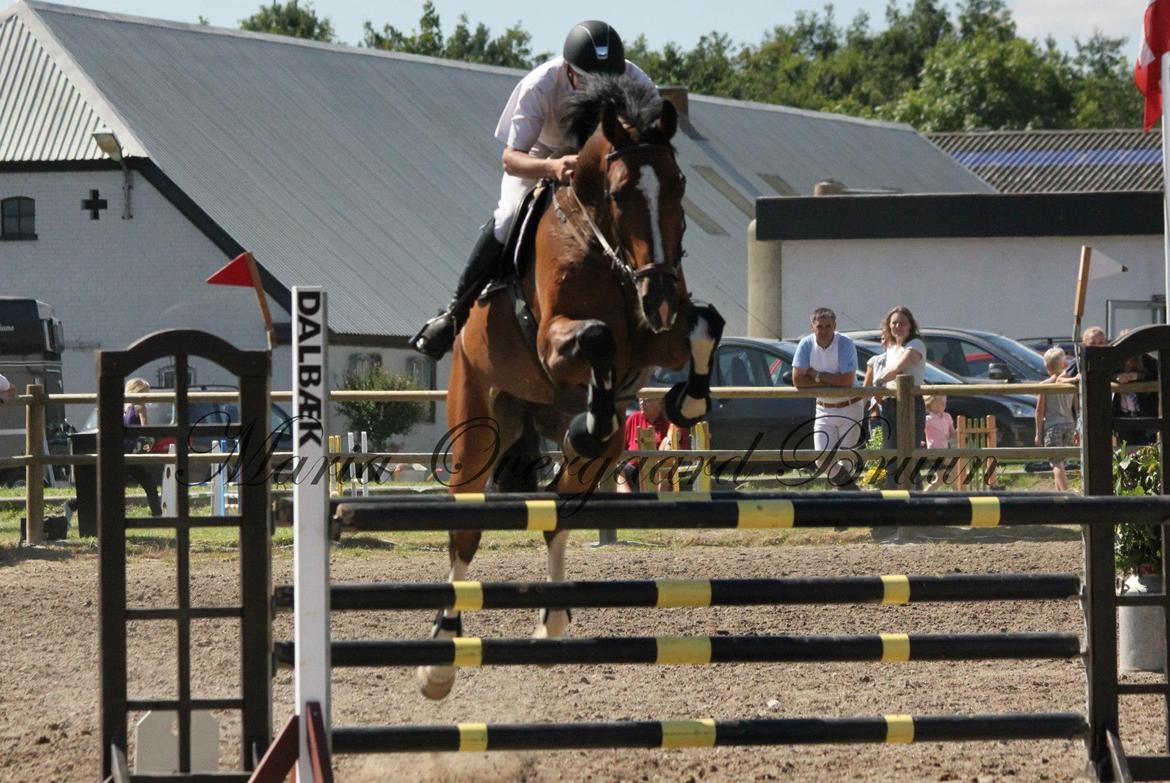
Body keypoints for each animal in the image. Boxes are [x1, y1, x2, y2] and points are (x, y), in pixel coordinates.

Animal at [423, 74, 720, 697]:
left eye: (679, 185)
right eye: (620, 191)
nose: (660, 299)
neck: (602, 247)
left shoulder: (660, 338)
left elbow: (707, 323)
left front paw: (689, 400)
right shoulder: (556, 344)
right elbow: (599, 339)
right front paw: (596, 414)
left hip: (568, 444)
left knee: (559, 507)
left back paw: (553, 623)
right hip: (477, 428)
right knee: (465, 532)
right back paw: (440, 658)